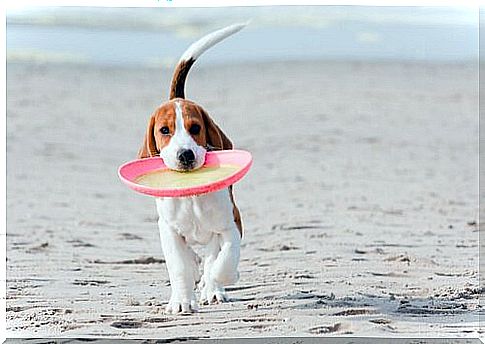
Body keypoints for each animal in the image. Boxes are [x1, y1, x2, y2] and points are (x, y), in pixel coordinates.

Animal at [136, 23, 246, 314]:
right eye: (164, 130)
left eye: (195, 128)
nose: (184, 154)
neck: (192, 194)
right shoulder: (169, 231)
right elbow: (179, 267)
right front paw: (182, 301)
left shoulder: (231, 223)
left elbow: (225, 260)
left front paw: (215, 281)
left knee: (212, 257)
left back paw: (212, 287)